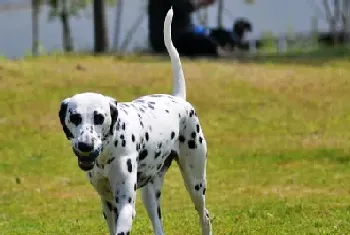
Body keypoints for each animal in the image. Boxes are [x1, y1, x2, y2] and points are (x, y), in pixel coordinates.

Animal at [58, 7, 212, 235]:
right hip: (150, 196)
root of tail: (179, 99)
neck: (107, 151)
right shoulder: (108, 204)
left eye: (99, 117)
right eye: (75, 117)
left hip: (195, 183)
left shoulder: (125, 205)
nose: (85, 145)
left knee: (205, 215)